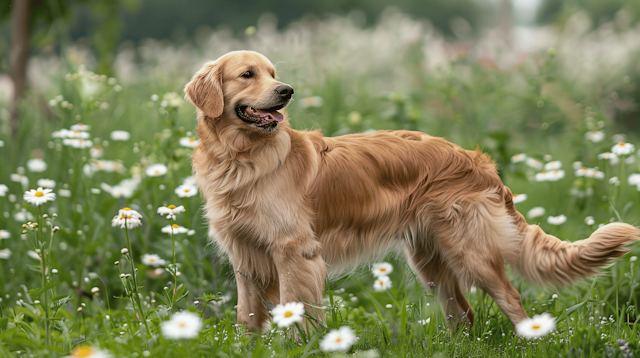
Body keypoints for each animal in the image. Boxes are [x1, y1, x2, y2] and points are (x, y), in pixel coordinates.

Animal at [184, 50, 636, 332]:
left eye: (273, 74)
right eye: (248, 74)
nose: (287, 92)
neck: (241, 158)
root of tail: (479, 162)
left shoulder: (295, 251)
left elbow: (299, 315)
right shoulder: (244, 256)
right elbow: (246, 317)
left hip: (470, 251)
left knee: (512, 301)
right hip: (432, 260)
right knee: (464, 315)